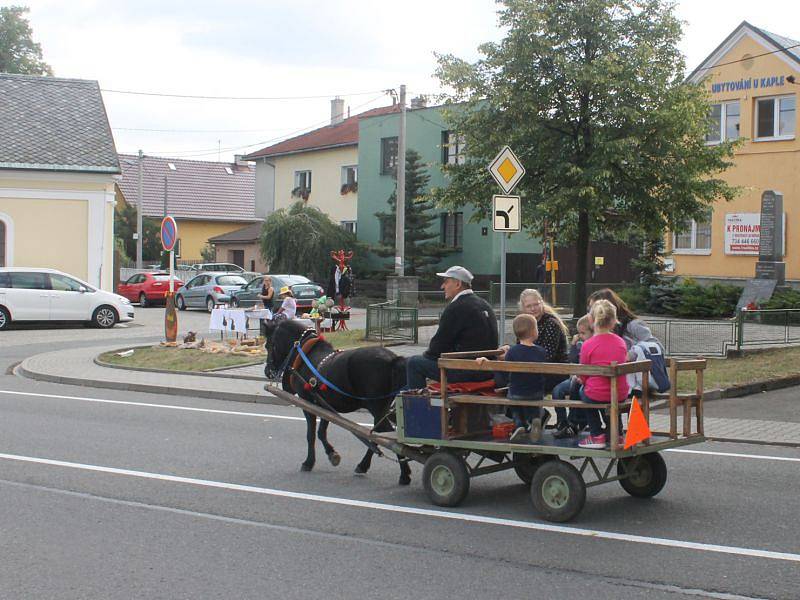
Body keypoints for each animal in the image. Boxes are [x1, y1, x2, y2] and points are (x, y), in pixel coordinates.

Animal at [266, 318, 412, 482]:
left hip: (376, 408)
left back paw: (403, 473)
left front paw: (309, 462)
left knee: (386, 435)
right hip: (381, 409)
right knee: (378, 435)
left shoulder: (308, 403)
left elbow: (311, 434)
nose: (267, 371)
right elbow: (321, 432)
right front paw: (332, 454)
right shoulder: (324, 406)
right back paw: (364, 465)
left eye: (268, 344)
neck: (304, 355)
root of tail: (393, 359)